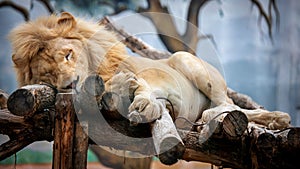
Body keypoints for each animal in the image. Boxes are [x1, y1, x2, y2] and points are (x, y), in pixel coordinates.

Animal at [8, 12, 290, 130]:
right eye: (49, 76)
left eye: (68, 54)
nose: (70, 84)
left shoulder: (157, 80)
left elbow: (144, 86)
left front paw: (142, 102)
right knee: (234, 109)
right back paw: (275, 120)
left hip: (184, 58)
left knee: (228, 105)